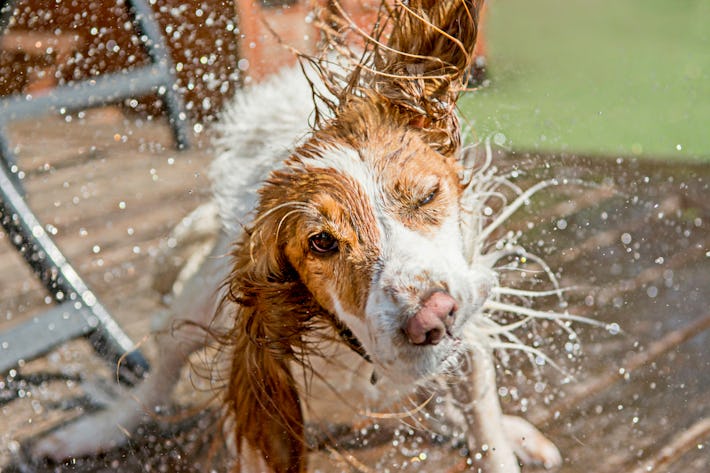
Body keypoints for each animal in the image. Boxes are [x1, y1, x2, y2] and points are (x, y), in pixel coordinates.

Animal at [33, 1, 572, 470]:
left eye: (426, 196)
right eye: (322, 243)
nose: (432, 317)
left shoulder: (470, 326)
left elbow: (484, 423)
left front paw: (502, 437)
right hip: (197, 304)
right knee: (158, 376)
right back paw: (95, 431)